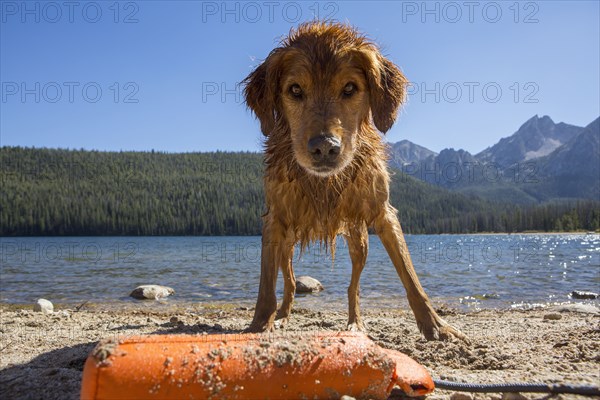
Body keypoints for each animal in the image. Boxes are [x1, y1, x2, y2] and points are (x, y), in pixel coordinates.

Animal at [241, 21, 466, 340]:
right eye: (295, 89)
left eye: (350, 88)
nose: (324, 147)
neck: (323, 183)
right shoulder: (275, 220)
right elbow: (266, 287)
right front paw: (260, 325)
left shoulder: (384, 213)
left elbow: (410, 277)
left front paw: (435, 324)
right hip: (288, 243)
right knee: (291, 281)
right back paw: (283, 315)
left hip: (359, 241)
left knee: (353, 287)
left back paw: (355, 322)